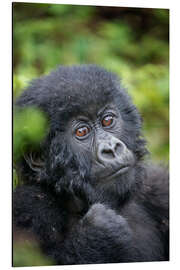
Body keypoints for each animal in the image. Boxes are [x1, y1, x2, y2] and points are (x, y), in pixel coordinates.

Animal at [13, 65, 169, 264]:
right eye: (82, 131)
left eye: (108, 120)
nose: (111, 149)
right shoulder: (27, 205)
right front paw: (100, 234)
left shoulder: (158, 184)